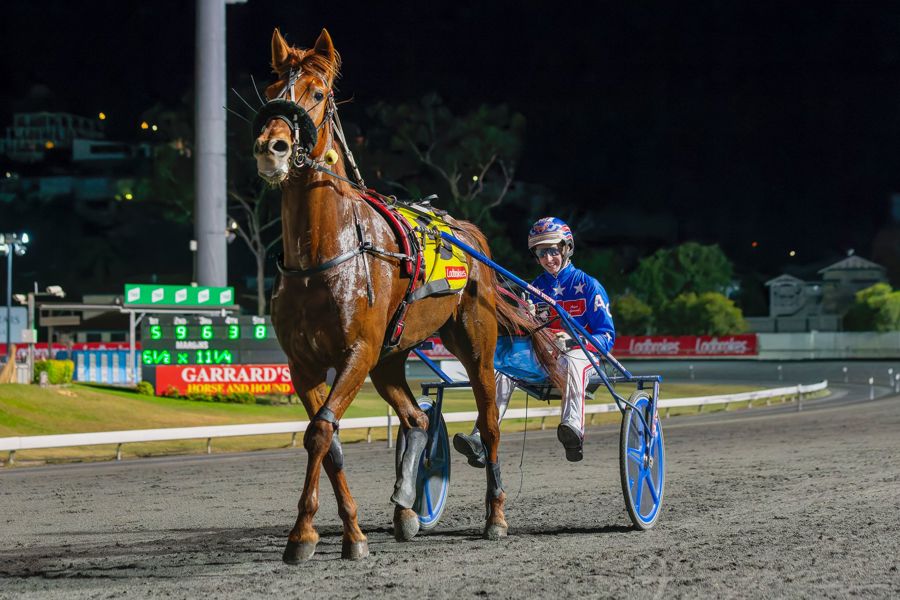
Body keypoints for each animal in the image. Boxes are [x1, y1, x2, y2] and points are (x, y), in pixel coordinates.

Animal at [251, 27, 563, 562]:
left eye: (317, 92)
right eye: (273, 88)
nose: (272, 147)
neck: (324, 255)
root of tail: (468, 234)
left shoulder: (358, 350)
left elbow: (321, 432)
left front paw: (309, 534)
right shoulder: (304, 363)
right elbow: (328, 439)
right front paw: (338, 531)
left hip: (473, 345)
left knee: (489, 423)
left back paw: (495, 516)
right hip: (390, 357)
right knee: (417, 419)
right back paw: (405, 508)